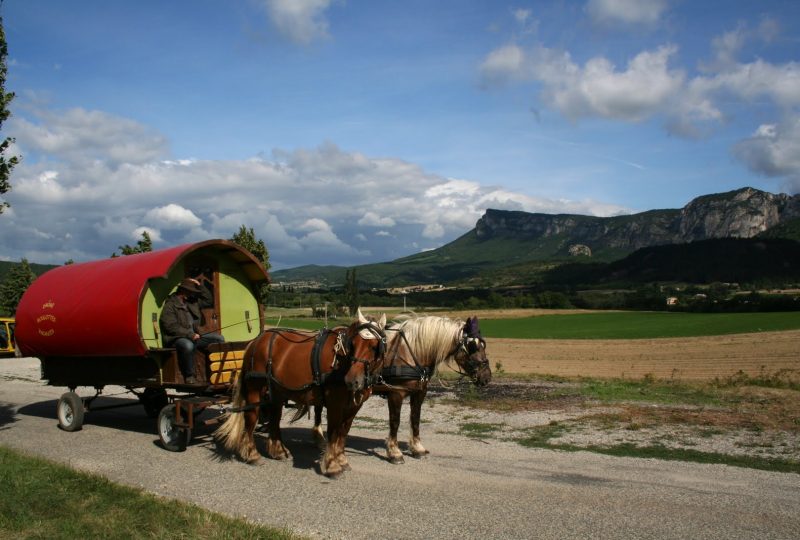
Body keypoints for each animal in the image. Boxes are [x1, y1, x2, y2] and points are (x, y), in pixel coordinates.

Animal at [216, 310, 384, 478]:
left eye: (374, 346)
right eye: (353, 344)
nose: (352, 380)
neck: (341, 360)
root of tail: (256, 341)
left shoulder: (354, 406)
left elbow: (343, 432)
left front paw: (342, 460)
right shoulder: (334, 403)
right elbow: (333, 432)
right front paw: (332, 465)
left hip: (276, 393)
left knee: (274, 418)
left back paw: (278, 451)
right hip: (255, 389)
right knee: (251, 418)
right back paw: (252, 455)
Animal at [314, 316, 490, 464]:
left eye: (483, 345)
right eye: (472, 346)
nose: (487, 376)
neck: (411, 353)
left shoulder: (419, 393)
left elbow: (415, 419)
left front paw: (417, 448)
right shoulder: (396, 393)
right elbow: (395, 422)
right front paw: (394, 452)